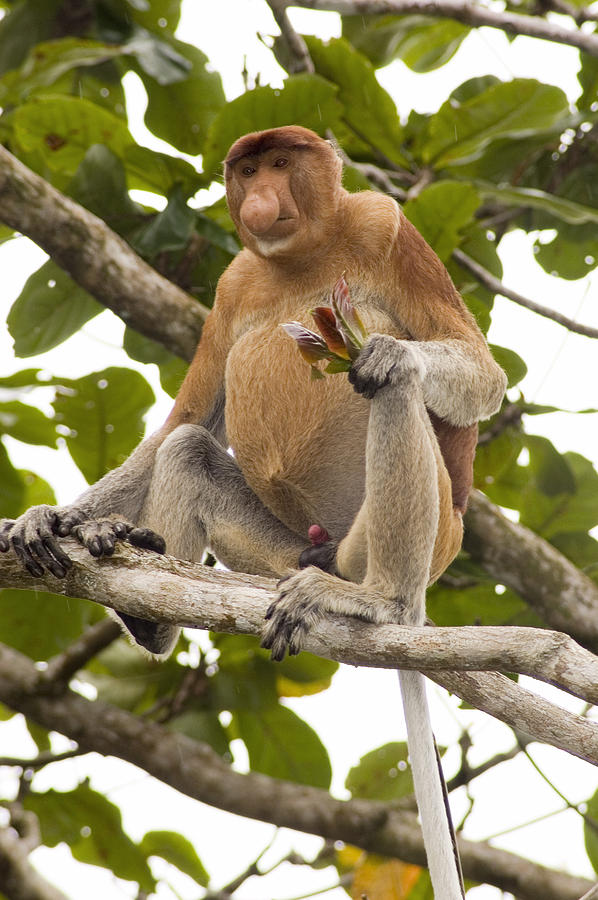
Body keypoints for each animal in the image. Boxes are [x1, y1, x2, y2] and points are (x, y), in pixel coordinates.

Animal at [0, 125, 506, 898]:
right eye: (246, 171)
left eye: (280, 163)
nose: (262, 199)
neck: (304, 254)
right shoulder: (233, 283)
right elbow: (186, 419)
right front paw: (49, 520)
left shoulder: (386, 226)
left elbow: (481, 373)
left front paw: (389, 352)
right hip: (286, 549)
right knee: (187, 449)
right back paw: (143, 594)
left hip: (425, 535)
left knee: (394, 393)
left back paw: (378, 599)